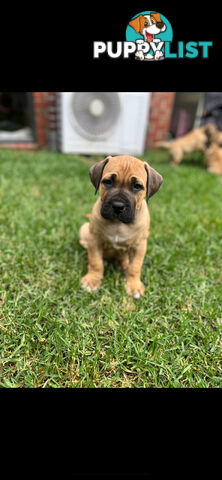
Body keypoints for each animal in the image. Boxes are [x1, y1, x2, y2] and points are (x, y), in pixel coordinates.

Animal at [79, 156, 162, 298]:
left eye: (137, 186)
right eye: (108, 182)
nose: (118, 206)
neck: (118, 223)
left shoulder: (140, 246)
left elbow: (135, 267)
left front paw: (133, 286)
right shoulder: (94, 240)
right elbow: (95, 262)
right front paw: (92, 280)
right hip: (85, 229)